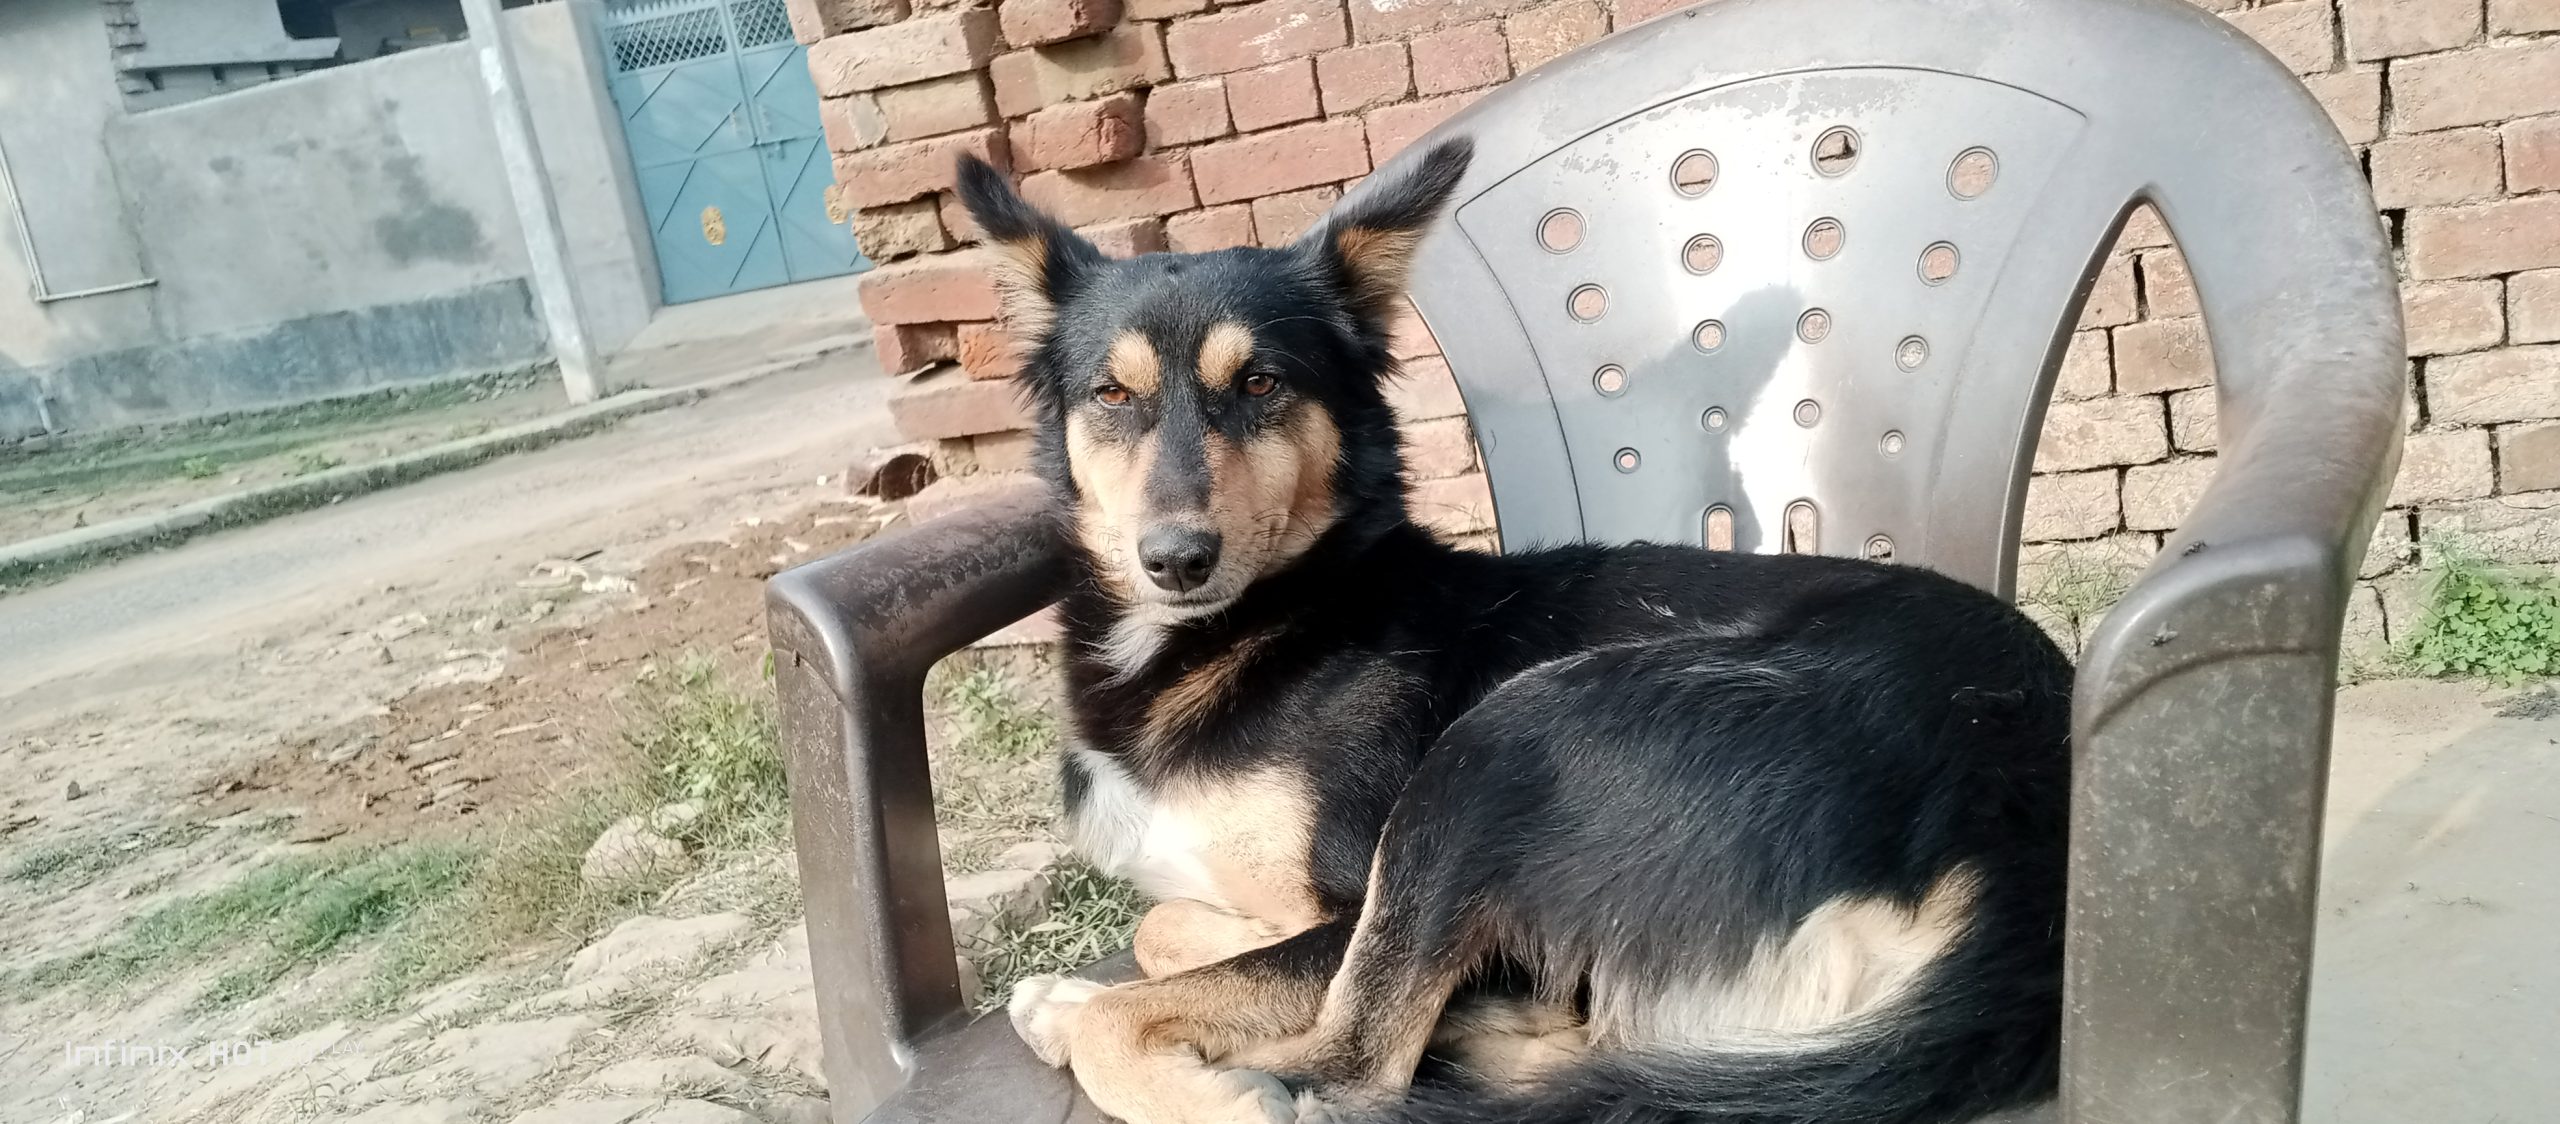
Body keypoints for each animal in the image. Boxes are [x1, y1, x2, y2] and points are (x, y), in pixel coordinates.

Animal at [962, 140, 2078, 1124]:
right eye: (1112, 394)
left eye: (1262, 384)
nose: (1176, 559)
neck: (1264, 620)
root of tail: (2030, 835)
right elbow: (1163, 928)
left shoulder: (1350, 899)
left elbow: (1152, 995)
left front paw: (1161, 1055)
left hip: (1503, 738)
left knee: (1358, 1068)